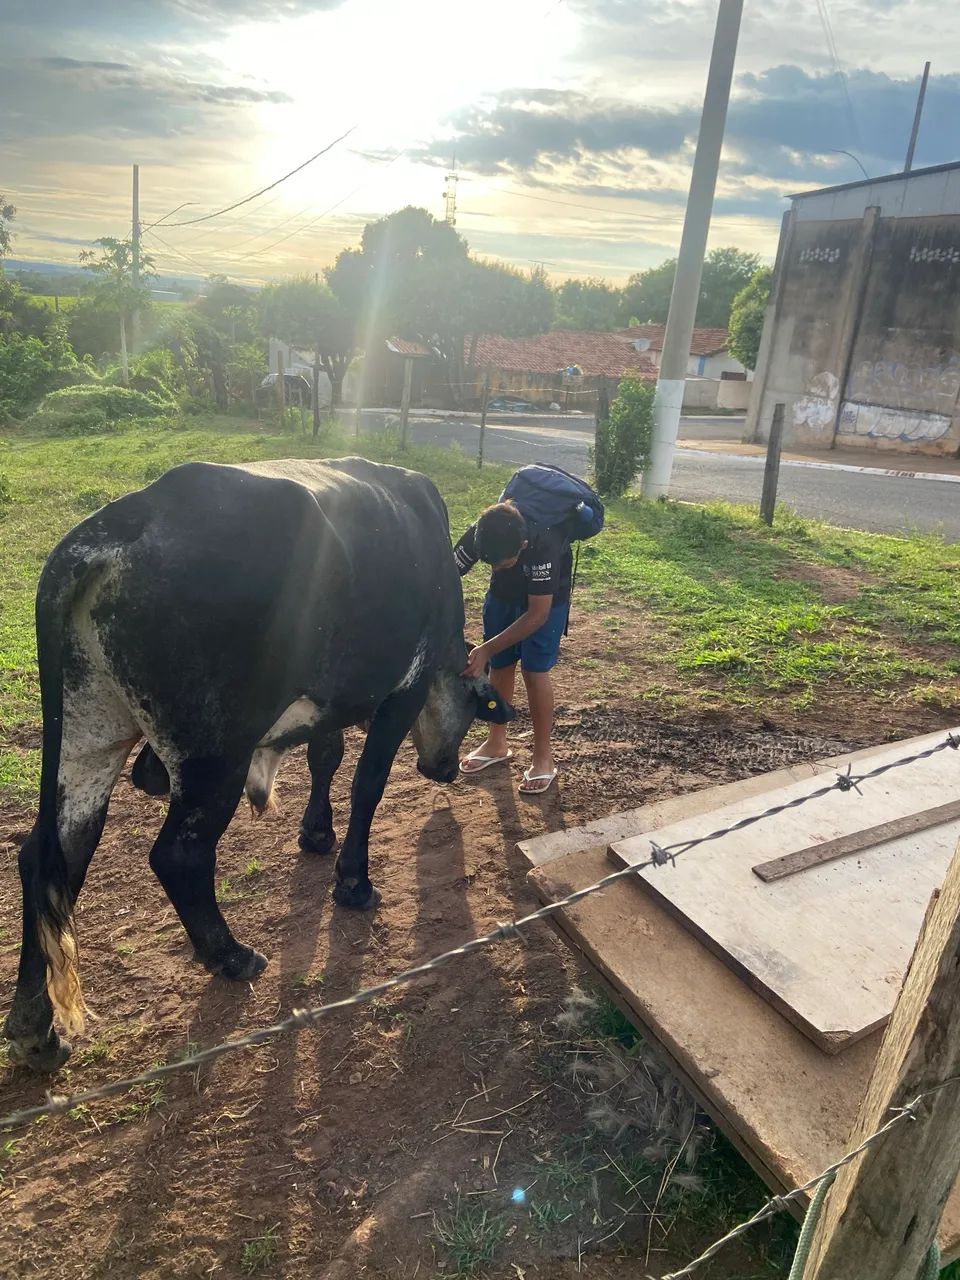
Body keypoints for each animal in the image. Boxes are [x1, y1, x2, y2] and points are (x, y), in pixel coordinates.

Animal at [3, 457, 514, 1073]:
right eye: (475, 706)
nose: (447, 769)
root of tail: (129, 516)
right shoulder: (402, 691)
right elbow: (366, 784)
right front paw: (354, 881)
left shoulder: (327, 702)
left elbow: (325, 756)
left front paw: (316, 834)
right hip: (213, 757)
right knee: (177, 855)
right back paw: (231, 955)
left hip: (87, 734)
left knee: (50, 856)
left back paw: (35, 1027)